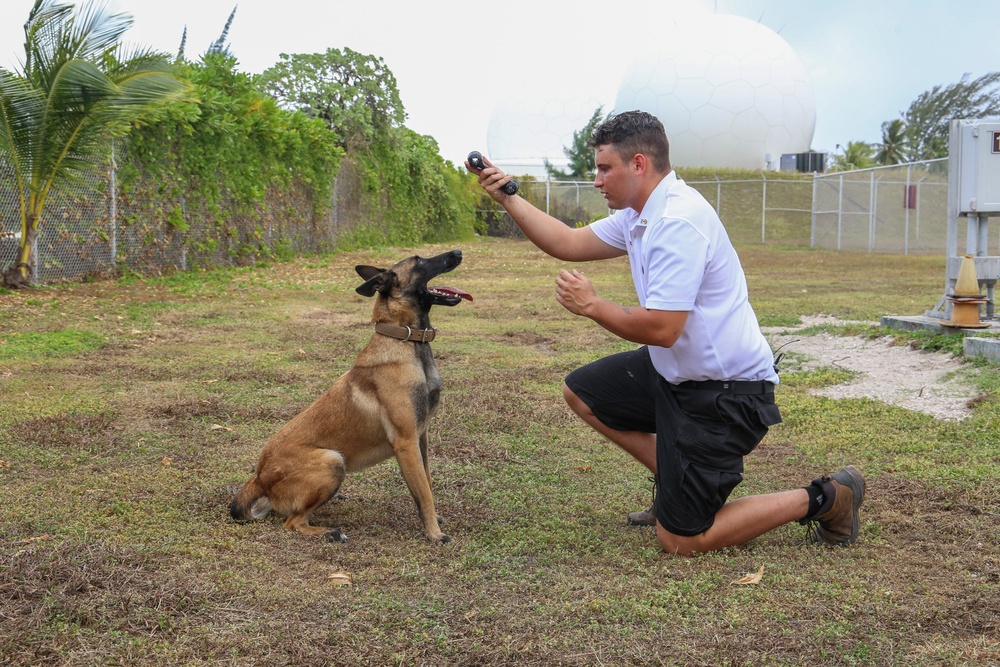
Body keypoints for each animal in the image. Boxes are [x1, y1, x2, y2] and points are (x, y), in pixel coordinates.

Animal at [229, 249, 470, 544]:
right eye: (419, 261)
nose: (457, 252)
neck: (406, 341)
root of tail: (259, 477)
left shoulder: (421, 436)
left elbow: (428, 483)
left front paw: (434, 521)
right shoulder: (406, 441)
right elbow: (423, 492)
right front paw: (435, 534)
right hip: (332, 460)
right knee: (292, 522)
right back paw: (330, 532)